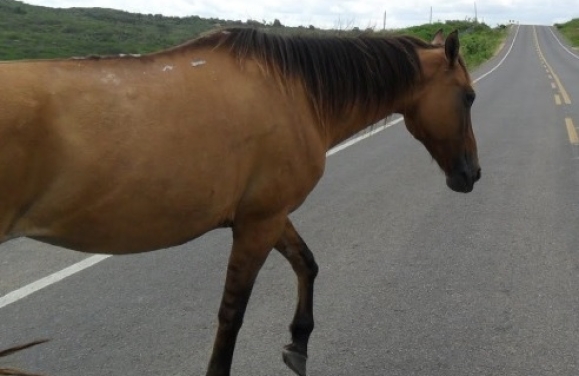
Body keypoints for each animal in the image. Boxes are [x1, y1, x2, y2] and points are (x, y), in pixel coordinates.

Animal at [0, 27, 480, 374]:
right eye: (469, 96)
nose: (472, 174)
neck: (294, 93)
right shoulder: (259, 223)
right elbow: (232, 315)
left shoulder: (267, 215)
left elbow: (307, 264)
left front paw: (298, 342)